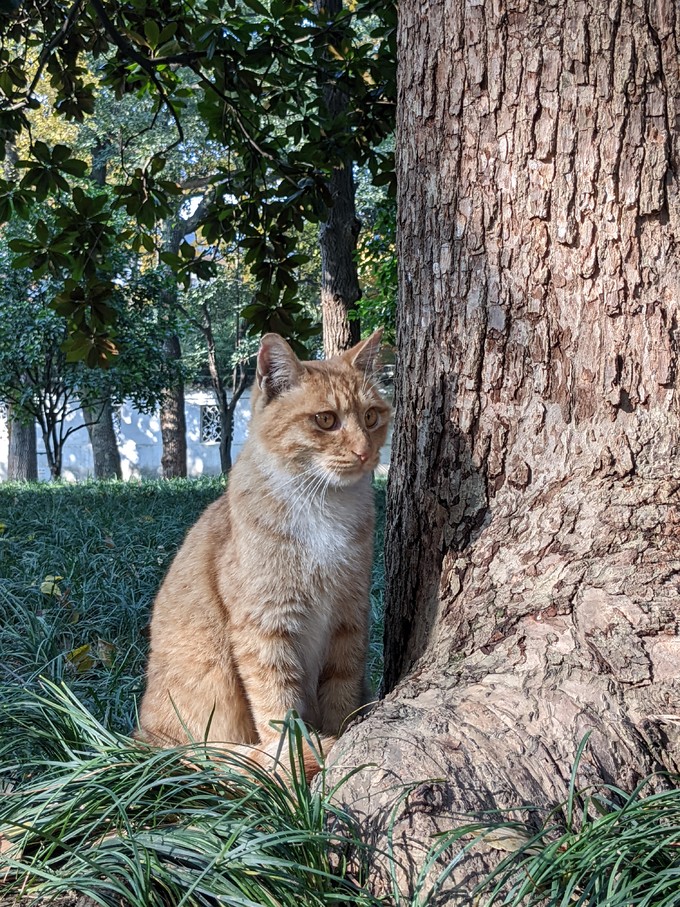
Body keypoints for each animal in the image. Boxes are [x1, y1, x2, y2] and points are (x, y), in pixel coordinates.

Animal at [138, 330, 390, 776]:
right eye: (326, 420)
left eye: (372, 416)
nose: (365, 453)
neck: (324, 508)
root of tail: (144, 736)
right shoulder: (264, 626)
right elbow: (278, 704)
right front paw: (297, 758)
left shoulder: (350, 616)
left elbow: (341, 691)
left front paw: (342, 737)